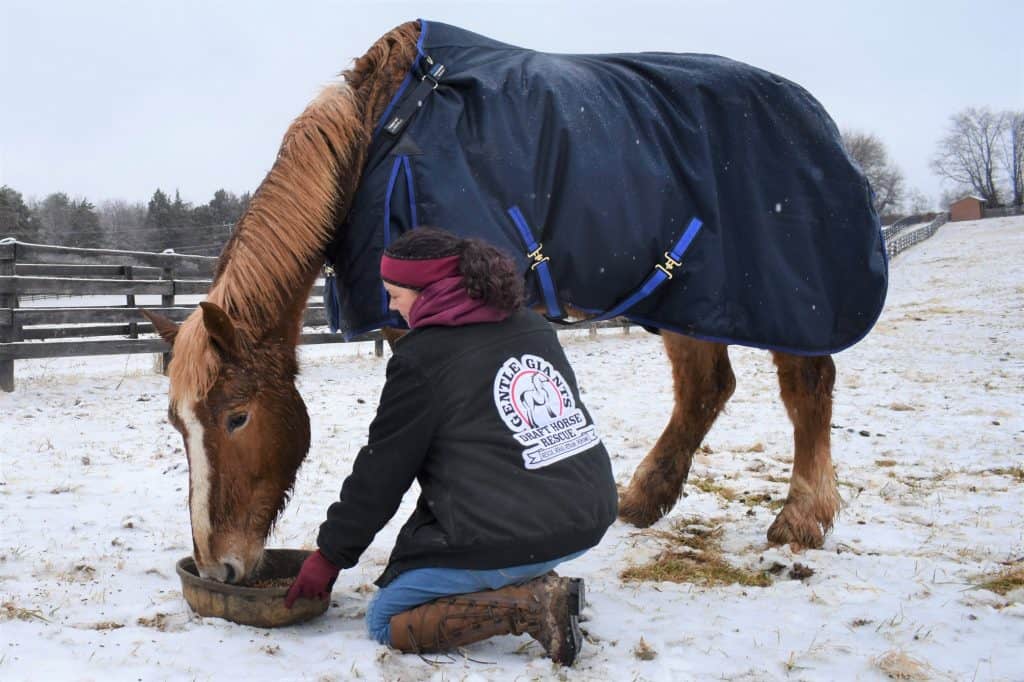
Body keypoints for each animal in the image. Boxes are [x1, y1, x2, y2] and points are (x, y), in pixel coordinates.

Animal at [144, 22, 880, 585]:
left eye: (236, 418)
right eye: (178, 427)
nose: (217, 568)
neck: (379, 137)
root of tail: (816, 119)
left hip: (793, 302)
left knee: (807, 388)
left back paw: (801, 519)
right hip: (688, 298)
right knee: (705, 390)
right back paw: (643, 501)